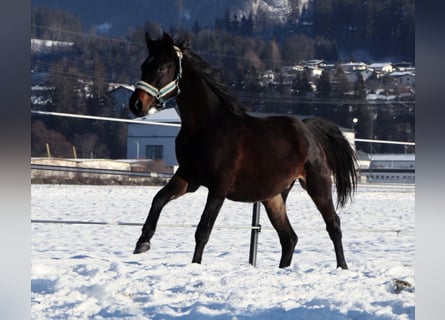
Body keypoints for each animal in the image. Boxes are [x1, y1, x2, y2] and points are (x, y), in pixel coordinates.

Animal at [128, 32, 358, 268]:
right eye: (144, 65)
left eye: (162, 67)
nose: (136, 104)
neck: (207, 126)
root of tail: (308, 130)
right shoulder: (188, 177)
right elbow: (158, 199)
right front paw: (142, 242)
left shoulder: (218, 187)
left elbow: (203, 230)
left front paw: (195, 264)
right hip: (273, 197)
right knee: (289, 238)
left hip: (317, 185)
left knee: (333, 225)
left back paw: (342, 267)